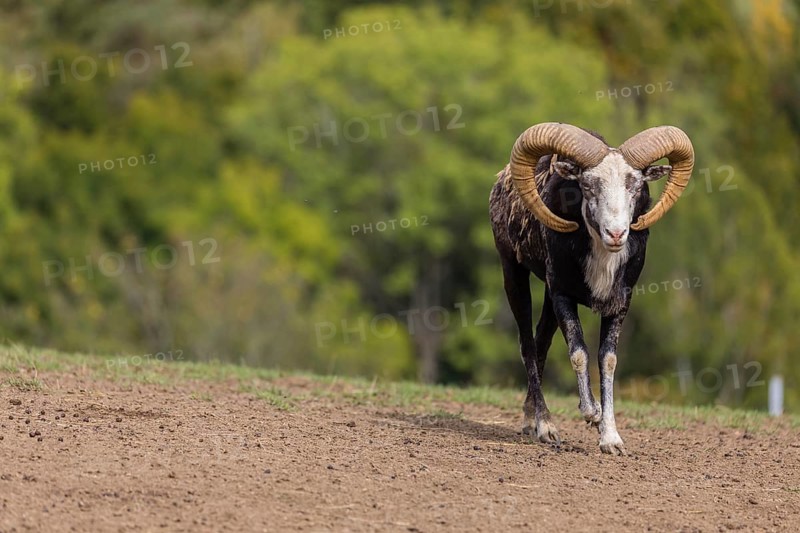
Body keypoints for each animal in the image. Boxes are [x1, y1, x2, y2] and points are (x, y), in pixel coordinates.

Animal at [489, 123, 694, 455]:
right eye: (587, 186)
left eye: (635, 186)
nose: (616, 233)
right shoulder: (563, 295)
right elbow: (579, 353)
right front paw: (591, 413)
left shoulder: (620, 302)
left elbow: (607, 360)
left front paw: (610, 438)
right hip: (514, 273)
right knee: (528, 345)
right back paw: (545, 427)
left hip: (546, 296)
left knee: (541, 341)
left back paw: (531, 422)